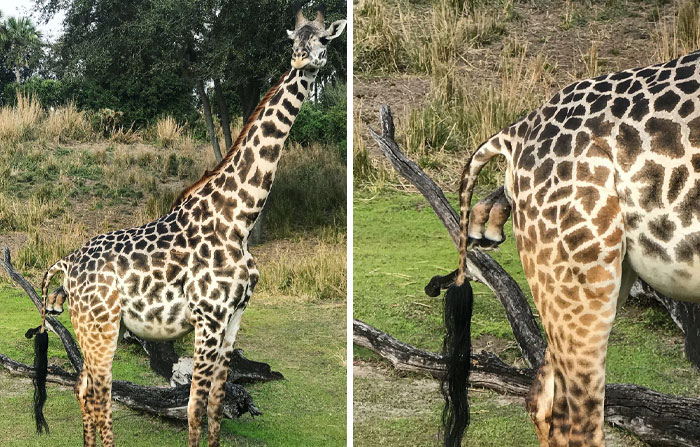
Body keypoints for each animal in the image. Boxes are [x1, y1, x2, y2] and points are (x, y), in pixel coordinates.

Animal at [26, 10, 346, 447]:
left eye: (323, 41)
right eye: (294, 39)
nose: (300, 59)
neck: (238, 218)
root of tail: (65, 264)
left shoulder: (233, 317)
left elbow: (215, 406)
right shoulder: (207, 317)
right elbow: (193, 408)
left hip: (92, 325)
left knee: (83, 388)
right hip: (100, 325)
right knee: (99, 395)